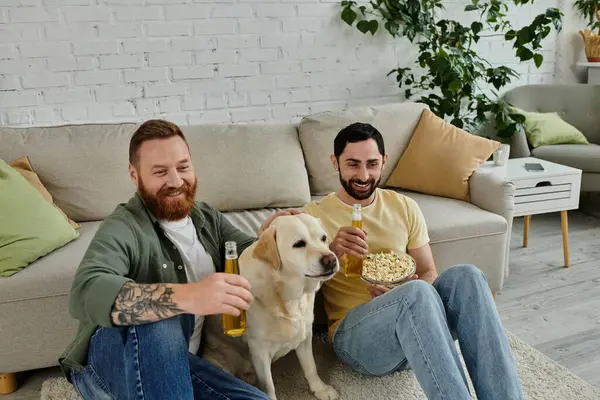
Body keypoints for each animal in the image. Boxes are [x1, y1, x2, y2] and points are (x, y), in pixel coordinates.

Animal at [203, 214, 338, 398]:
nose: (331, 259)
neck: (285, 296)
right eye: (299, 244)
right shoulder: (259, 350)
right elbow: (269, 386)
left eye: (323, 238)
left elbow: (310, 366)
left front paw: (320, 389)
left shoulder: (304, 334)